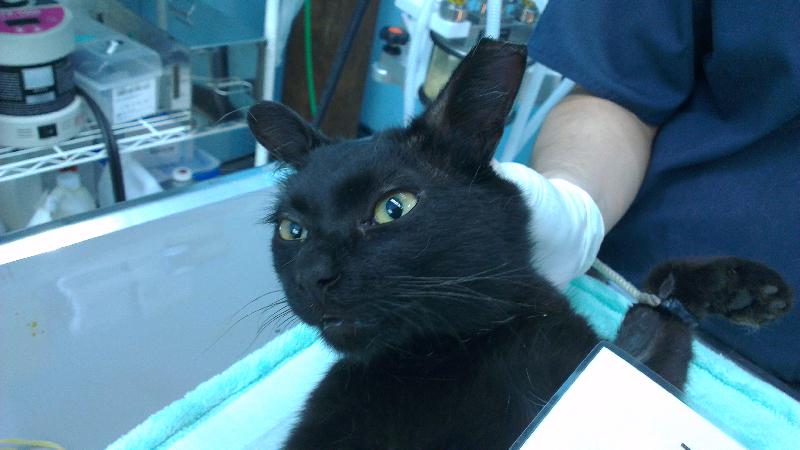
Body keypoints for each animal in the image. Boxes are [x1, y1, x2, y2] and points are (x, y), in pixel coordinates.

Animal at [247, 39, 793, 449]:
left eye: (393, 208)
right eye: (292, 230)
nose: (311, 275)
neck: (442, 351)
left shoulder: (606, 370)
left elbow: (658, 307)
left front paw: (741, 289)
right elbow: (658, 310)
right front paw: (736, 289)